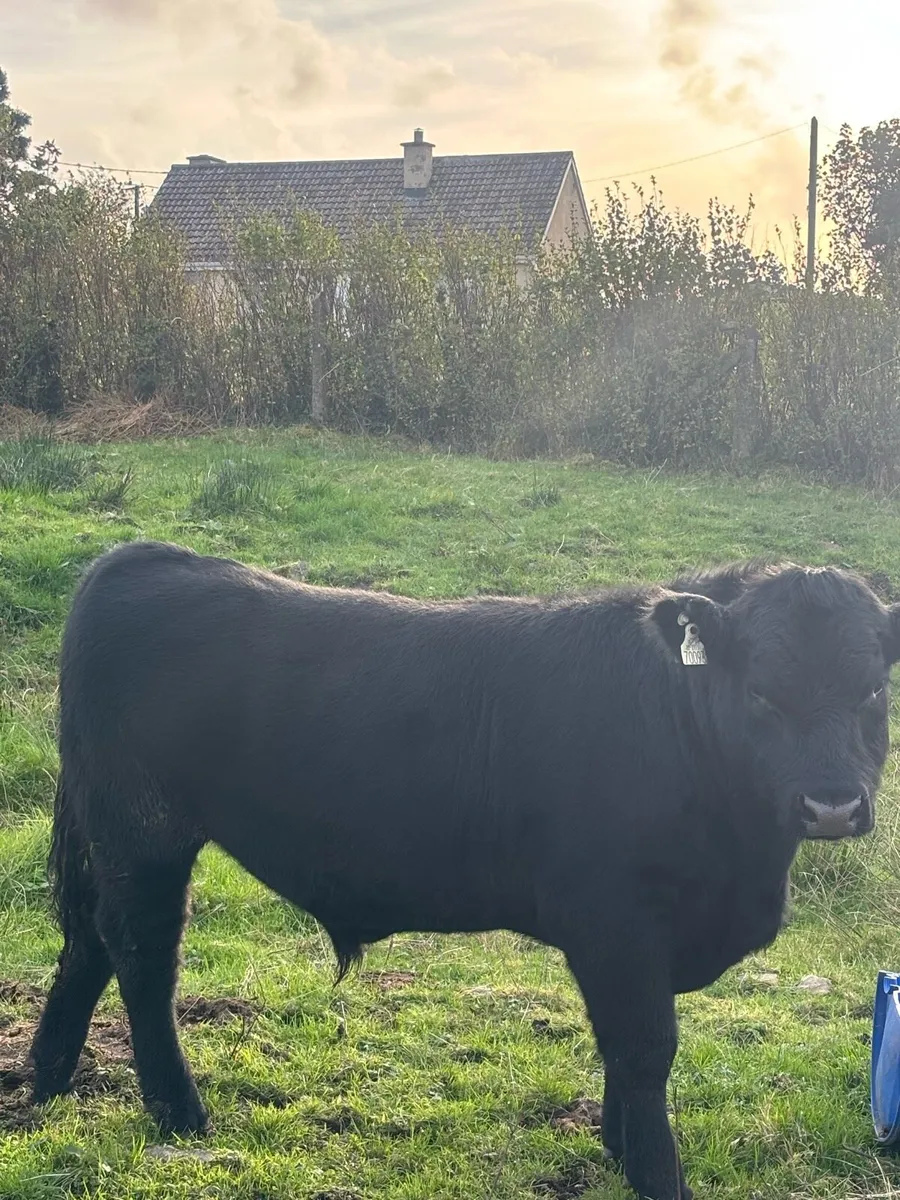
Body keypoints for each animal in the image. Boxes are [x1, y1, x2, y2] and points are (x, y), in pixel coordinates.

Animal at [27, 540, 900, 1200]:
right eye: (762, 694)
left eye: (873, 690)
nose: (830, 805)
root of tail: (145, 559)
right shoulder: (615, 920)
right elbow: (644, 1046)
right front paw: (658, 1175)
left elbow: (618, 1048)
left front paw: (618, 1147)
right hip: (144, 830)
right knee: (142, 953)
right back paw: (178, 1110)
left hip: (113, 832)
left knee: (87, 944)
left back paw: (43, 1080)